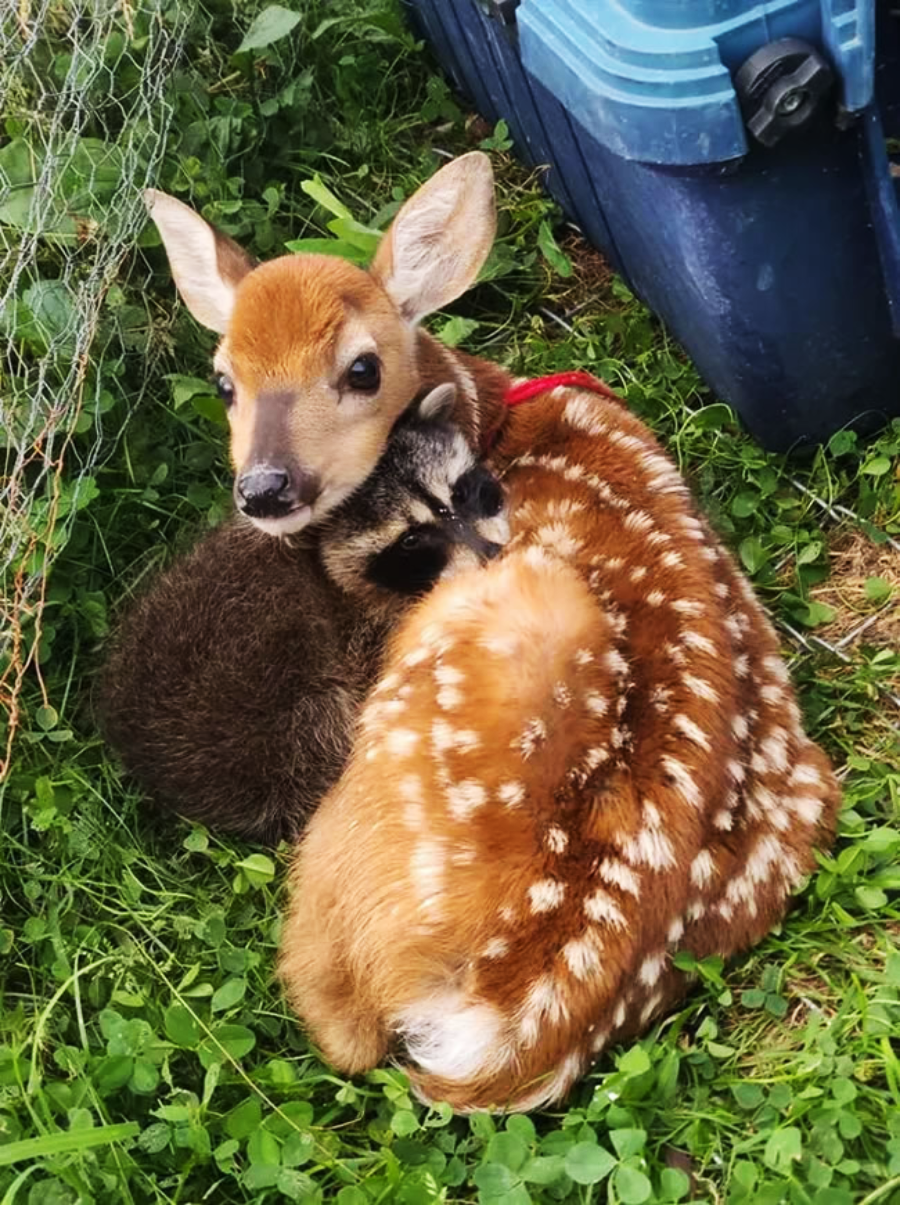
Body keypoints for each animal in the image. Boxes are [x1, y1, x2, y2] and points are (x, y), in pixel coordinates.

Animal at [142, 154, 841, 1112]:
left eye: (362, 368)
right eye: (224, 380)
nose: (267, 487)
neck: (494, 416)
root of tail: (510, 1019)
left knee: (336, 1012)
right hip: (813, 795)